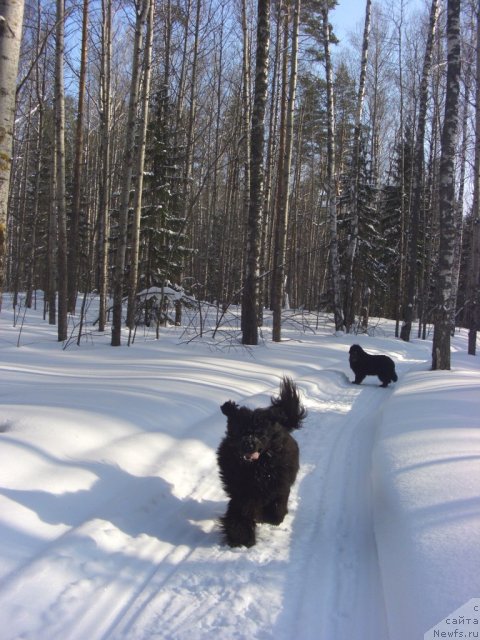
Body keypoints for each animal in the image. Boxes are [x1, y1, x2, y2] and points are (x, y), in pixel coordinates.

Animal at [217, 378, 306, 548]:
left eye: (260, 433)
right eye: (240, 431)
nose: (248, 443)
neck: (256, 468)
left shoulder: (279, 485)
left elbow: (276, 507)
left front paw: (268, 517)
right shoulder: (241, 492)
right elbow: (239, 513)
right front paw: (241, 537)